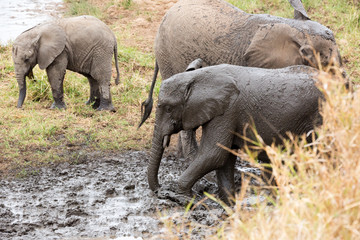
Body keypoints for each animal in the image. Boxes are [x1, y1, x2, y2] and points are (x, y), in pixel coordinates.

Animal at [148, 63, 324, 202]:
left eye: (168, 108)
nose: (159, 190)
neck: (197, 77)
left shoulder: (227, 112)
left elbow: (213, 155)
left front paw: (179, 196)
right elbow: (224, 159)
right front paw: (229, 204)